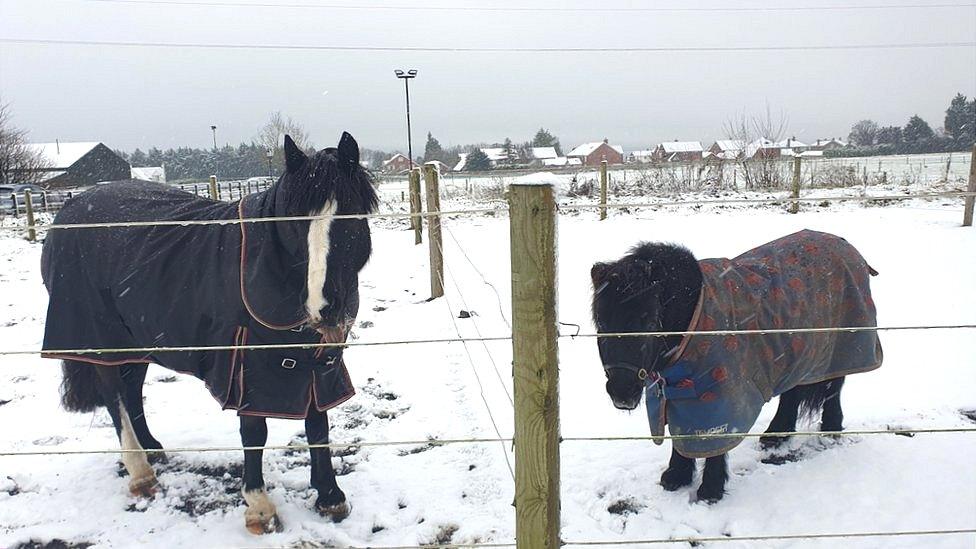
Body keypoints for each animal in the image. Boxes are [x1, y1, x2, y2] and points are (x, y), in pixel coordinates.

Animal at [41, 132, 378, 532]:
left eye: (350, 215)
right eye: (294, 223)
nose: (322, 306)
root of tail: (68, 211)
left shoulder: (314, 362)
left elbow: (318, 424)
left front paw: (329, 496)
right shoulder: (248, 366)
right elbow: (254, 432)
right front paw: (259, 508)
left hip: (139, 341)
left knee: (132, 390)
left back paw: (152, 449)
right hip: (103, 339)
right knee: (115, 396)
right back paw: (140, 473)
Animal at [592, 229, 880, 504]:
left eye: (650, 323)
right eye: (602, 324)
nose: (622, 393)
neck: (692, 318)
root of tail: (845, 245)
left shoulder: (721, 393)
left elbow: (715, 439)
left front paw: (710, 489)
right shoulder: (677, 391)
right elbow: (682, 432)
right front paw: (676, 476)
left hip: (840, 349)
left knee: (833, 389)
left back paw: (829, 431)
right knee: (793, 394)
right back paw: (776, 436)